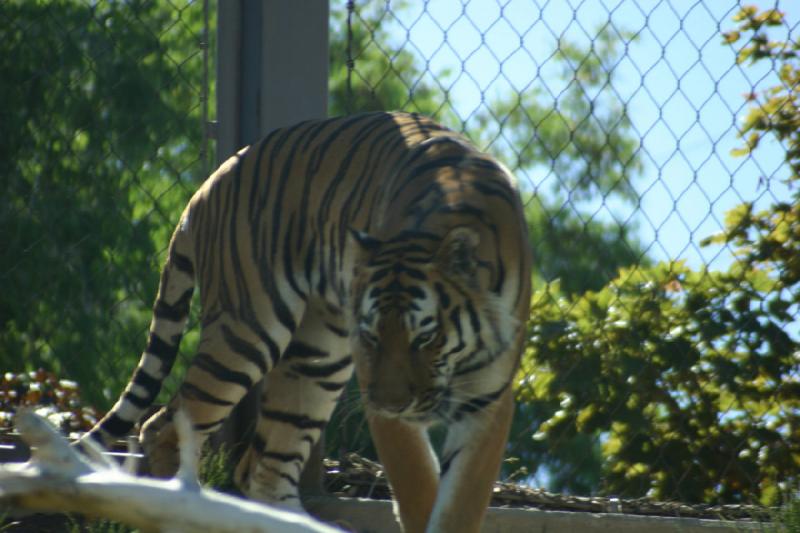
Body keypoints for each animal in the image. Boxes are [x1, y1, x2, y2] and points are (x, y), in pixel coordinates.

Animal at [81, 110, 532, 528]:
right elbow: (418, 487)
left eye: (425, 337)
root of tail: (207, 185)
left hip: (318, 359)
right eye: (372, 337)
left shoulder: (488, 396)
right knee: (165, 427)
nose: (392, 403)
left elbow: (461, 503)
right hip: (246, 333)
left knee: (263, 468)